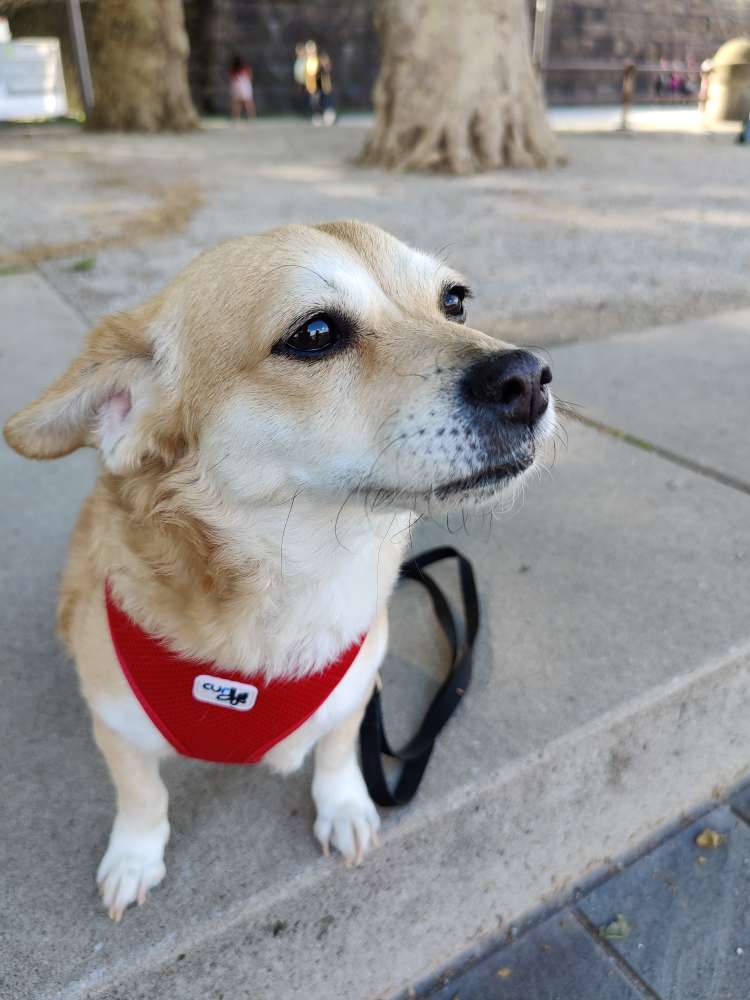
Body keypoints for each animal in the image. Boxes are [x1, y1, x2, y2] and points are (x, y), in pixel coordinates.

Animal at [2, 221, 556, 920]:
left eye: (453, 301)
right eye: (315, 334)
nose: (530, 378)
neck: (300, 583)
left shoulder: (354, 694)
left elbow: (339, 753)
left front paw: (344, 808)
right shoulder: (118, 731)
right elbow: (144, 798)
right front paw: (133, 858)